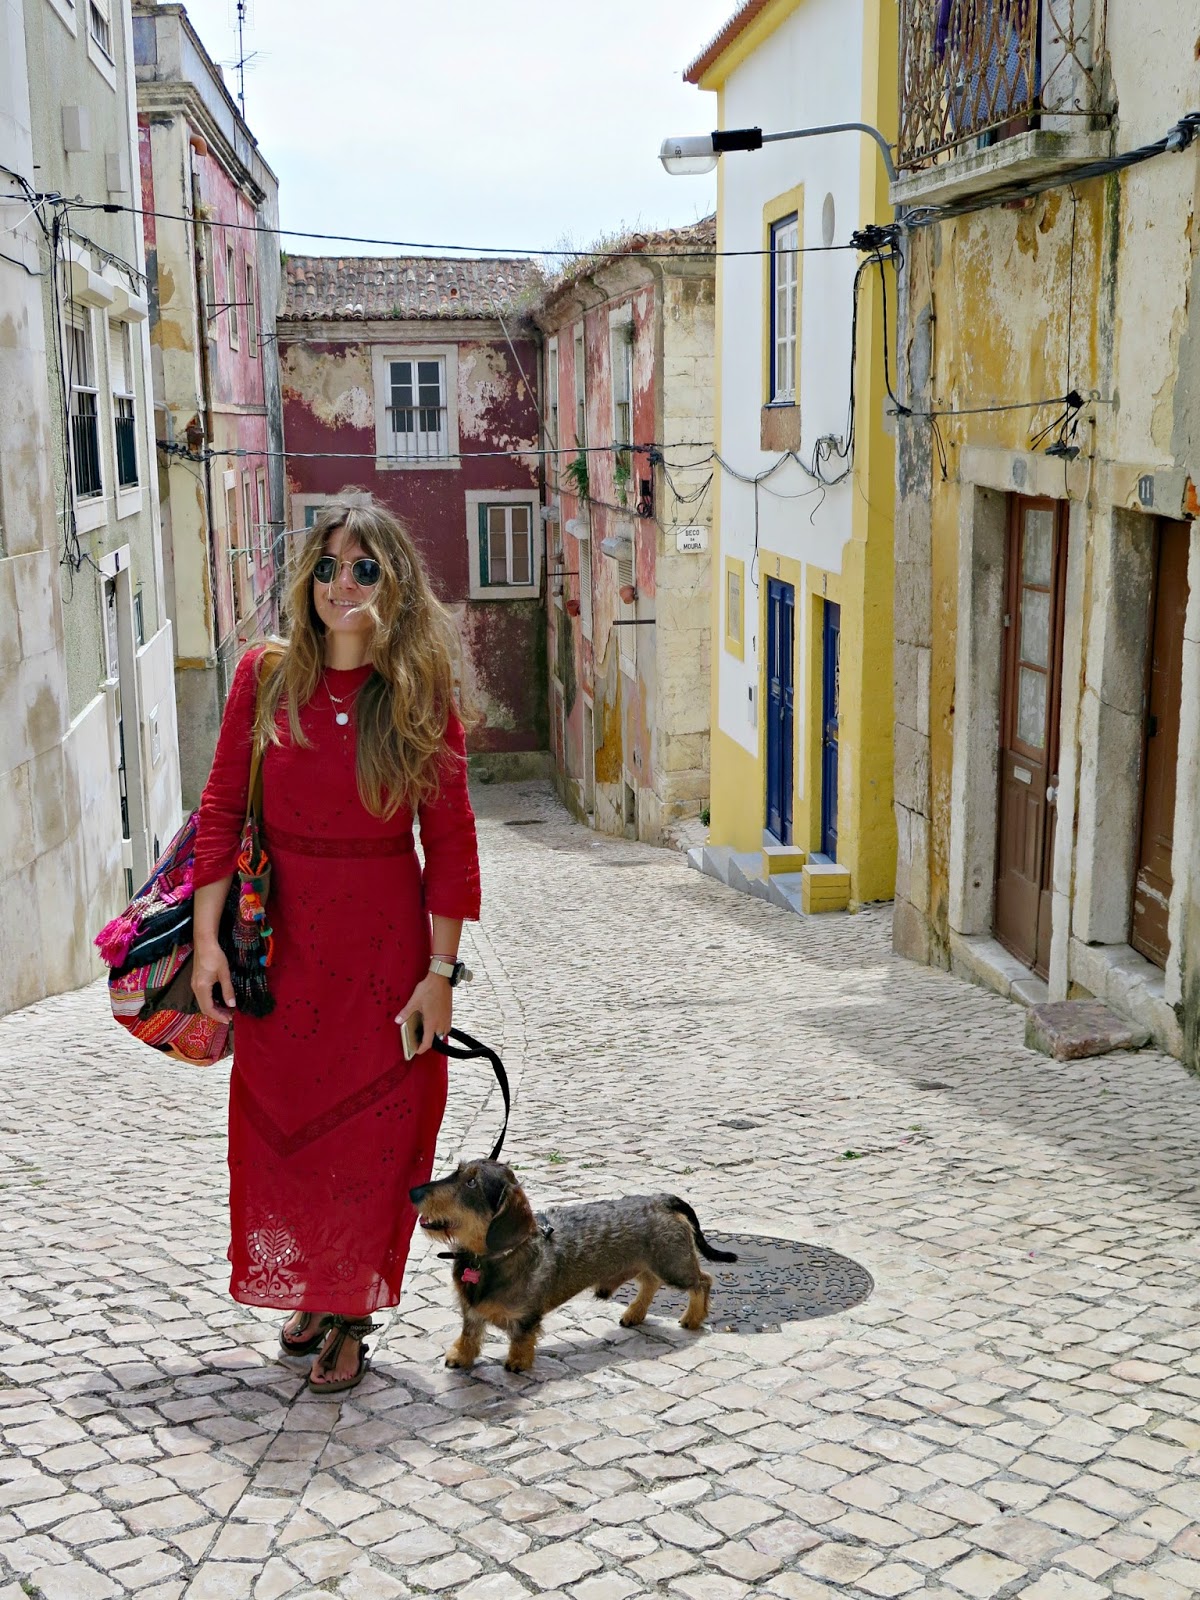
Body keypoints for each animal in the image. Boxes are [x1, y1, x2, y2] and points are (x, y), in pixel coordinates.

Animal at [409, 1160, 738, 1373]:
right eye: (457, 1171)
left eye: (471, 1182)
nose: (413, 1192)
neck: (487, 1259)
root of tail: (662, 1200)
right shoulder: (471, 1311)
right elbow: (469, 1333)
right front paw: (461, 1356)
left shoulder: (527, 1315)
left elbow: (522, 1336)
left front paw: (518, 1361)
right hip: (653, 1264)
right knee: (650, 1282)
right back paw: (634, 1313)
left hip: (673, 1266)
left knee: (703, 1280)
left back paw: (692, 1318)